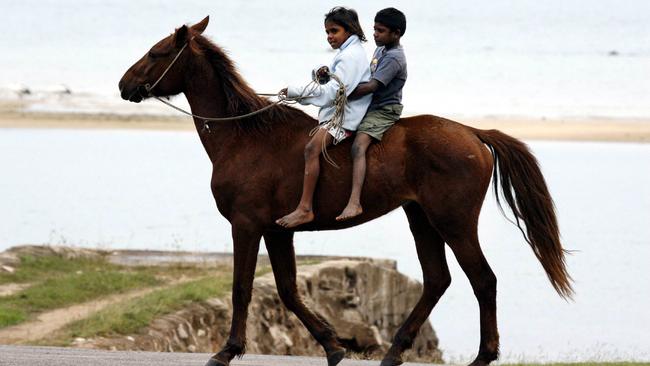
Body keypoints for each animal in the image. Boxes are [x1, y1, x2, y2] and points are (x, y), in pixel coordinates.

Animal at [119, 16, 568, 366]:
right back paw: (395, 350)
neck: (246, 136)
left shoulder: (246, 226)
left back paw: (482, 355)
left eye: (157, 53)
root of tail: (474, 134)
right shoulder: (277, 231)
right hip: (421, 219)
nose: (124, 85)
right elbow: (288, 291)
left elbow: (242, 289)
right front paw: (333, 345)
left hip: (453, 223)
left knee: (483, 280)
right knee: (437, 280)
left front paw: (227, 351)